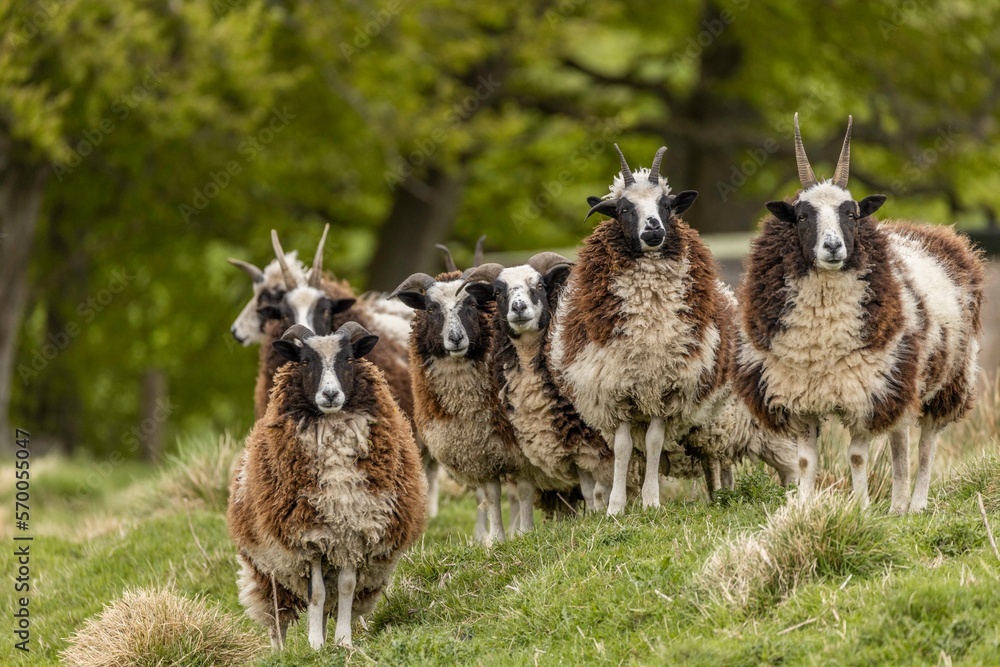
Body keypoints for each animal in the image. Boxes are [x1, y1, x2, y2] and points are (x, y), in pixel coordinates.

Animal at [227, 323, 426, 649]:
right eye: (306, 361)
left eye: (349, 359)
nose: (331, 394)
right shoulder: (308, 537)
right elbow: (316, 594)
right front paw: (315, 645)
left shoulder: (352, 532)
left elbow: (346, 587)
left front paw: (342, 641)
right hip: (267, 566)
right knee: (276, 610)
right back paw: (280, 651)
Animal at [549, 144, 736, 515]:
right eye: (623, 209)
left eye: (666, 205)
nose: (653, 230)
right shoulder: (616, 391)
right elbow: (622, 449)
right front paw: (615, 506)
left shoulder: (666, 391)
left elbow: (653, 443)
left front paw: (651, 501)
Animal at [735, 114, 985, 513]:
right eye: (802, 216)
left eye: (851, 214)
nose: (833, 247)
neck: (821, 339)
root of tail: (942, 236)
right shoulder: (799, 396)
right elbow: (805, 461)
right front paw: (803, 508)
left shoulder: (864, 392)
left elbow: (855, 456)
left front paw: (861, 508)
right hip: (902, 378)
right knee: (900, 438)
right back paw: (898, 507)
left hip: (948, 379)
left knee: (927, 443)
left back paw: (916, 503)